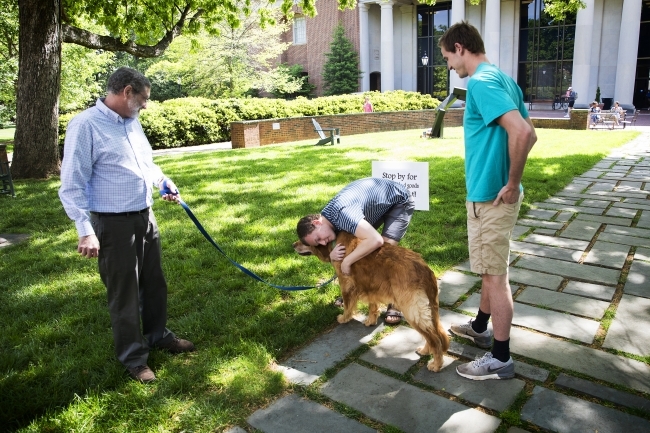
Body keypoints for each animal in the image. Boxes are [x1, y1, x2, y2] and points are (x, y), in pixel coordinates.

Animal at [292, 231, 448, 370]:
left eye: (303, 240)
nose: (293, 244)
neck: (335, 241)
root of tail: (425, 269)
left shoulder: (346, 284)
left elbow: (348, 305)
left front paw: (344, 318)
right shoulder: (370, 287)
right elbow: (372, 306)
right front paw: (370, 321)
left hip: (412, 311)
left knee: (435, 339)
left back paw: (436, 365)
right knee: (434, 335)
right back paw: (426, 351)